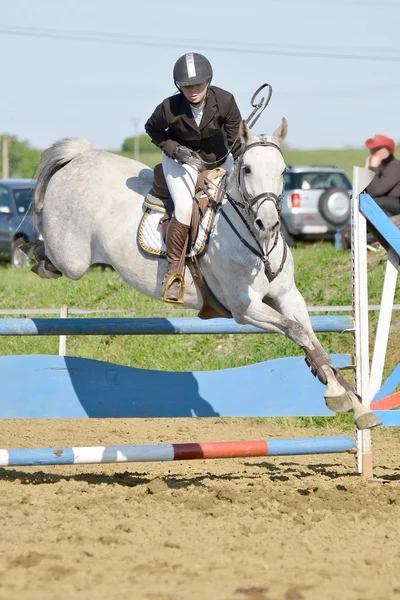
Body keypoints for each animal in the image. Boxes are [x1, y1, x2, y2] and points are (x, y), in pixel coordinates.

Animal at [27, 117, 382, 428]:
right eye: (248, 169)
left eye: (283, 171)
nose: (267, 224)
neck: (258, 244)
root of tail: (81, 156)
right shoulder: (244, 308)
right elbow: (295, 331)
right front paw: (341, 395)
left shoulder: (288, 297)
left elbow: (310, 338)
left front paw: (353, 403)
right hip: (73, 258)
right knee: (52, 256)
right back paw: (29, 250)